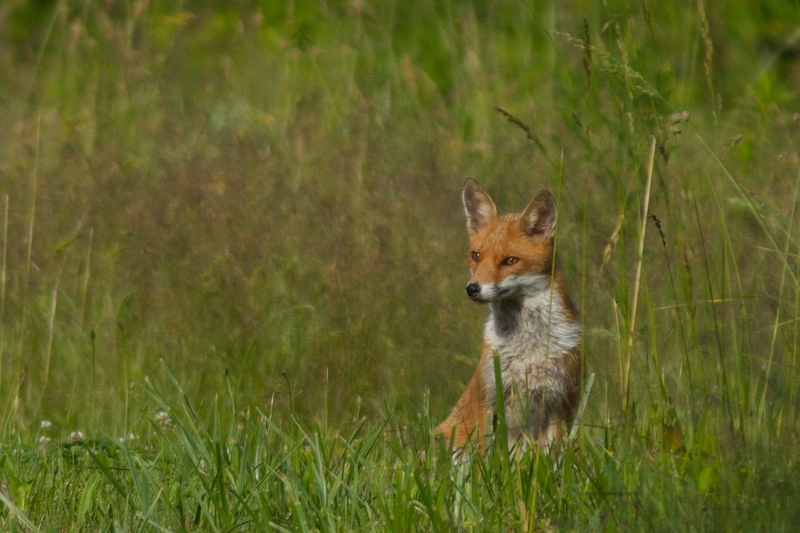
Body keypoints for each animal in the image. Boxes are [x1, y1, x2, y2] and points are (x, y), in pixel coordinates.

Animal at [438, 180, 580, 448]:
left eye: (510, 261)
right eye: (476, 256)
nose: (472, 289)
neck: (526, 347)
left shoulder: (558, 405)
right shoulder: (490, 401)